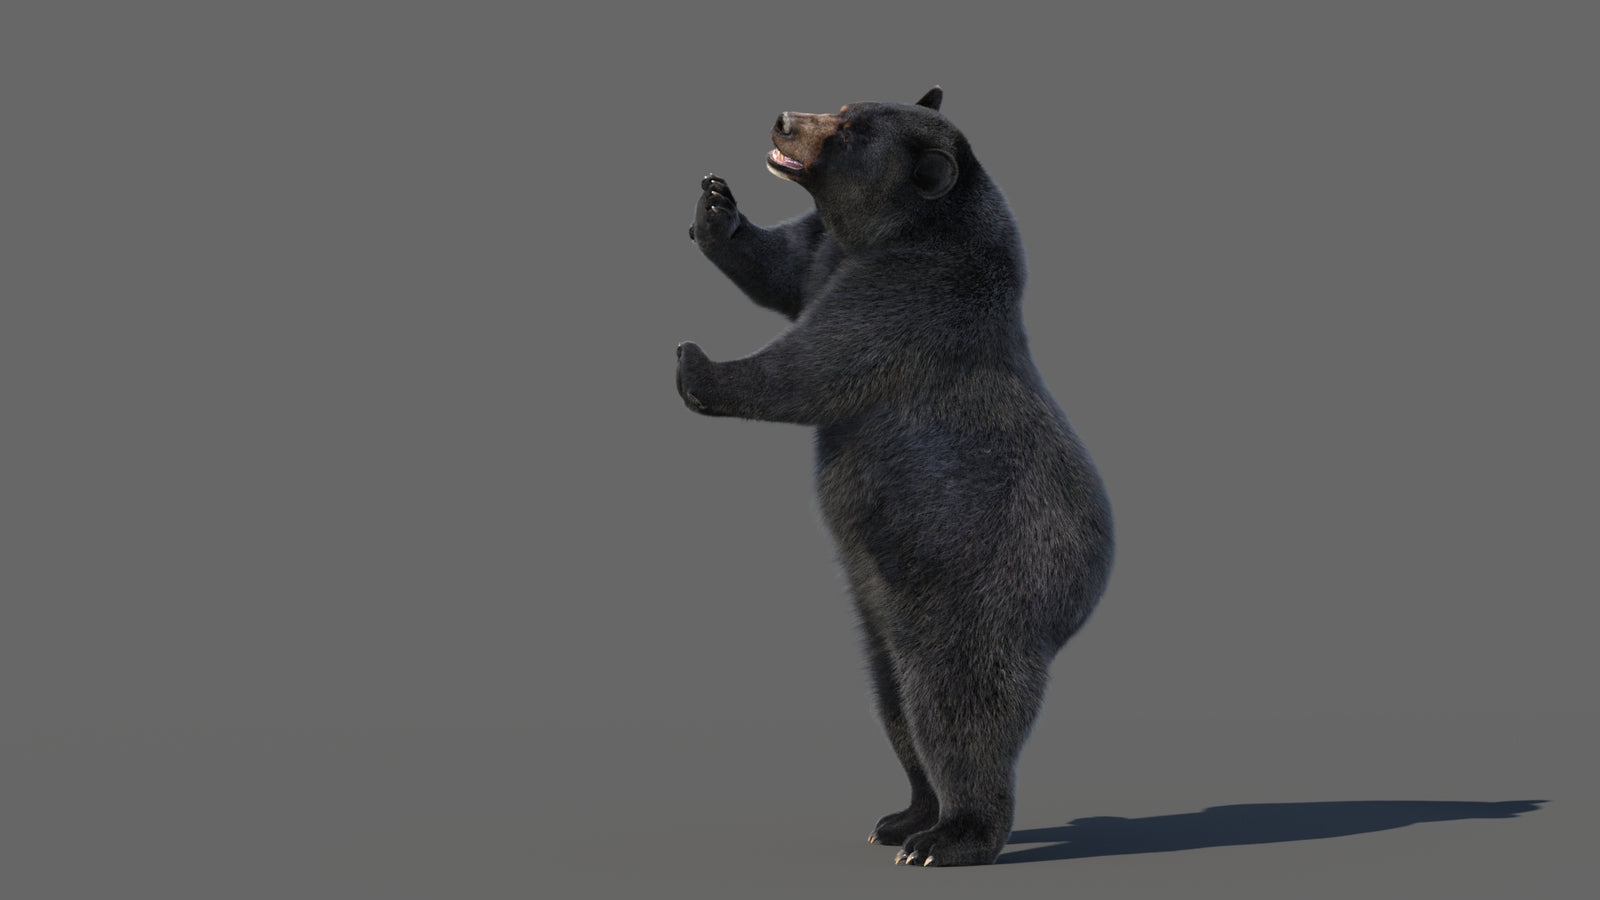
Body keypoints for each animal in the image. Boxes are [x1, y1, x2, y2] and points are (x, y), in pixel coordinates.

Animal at [676, 87, 1114, 867]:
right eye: (843, 104)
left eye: (850, 131)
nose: (785, 119)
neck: (896, 230)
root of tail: (1083, 596)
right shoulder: (830, 253)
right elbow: (782, 266)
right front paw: (718, 206)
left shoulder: (915, 291)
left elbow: (820, 362)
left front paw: (698, 366)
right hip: (883, 611)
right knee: (894, 704)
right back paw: (904, 817)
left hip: (981, 594)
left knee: (957, 709)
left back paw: (951, 836)